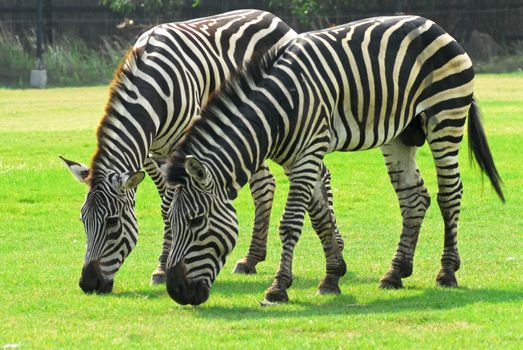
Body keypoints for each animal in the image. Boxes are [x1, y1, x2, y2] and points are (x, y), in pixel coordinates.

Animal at [59, 10, 344, 296]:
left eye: (113, 222)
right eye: (83, 220)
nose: (89, 284)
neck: (152, 89)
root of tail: (270, 16)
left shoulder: (181, 149)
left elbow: (169, 205)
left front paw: (162, 268)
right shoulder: (150, 153)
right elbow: (166, 203)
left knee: (322, 174)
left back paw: (337, 250)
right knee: (265, 184)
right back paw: (251, 259)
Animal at [163, 15, 504, 306]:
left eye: (195, 221)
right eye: (173, 221)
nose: (176, 290)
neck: (277, 110)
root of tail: (434, 25)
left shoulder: (307, 153)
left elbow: (291, 222)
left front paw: (278, 288)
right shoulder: (299, 159)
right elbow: (320, 218)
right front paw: (332, 278)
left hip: (445, 116)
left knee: (449, 194)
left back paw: (446, 272)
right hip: (401, 134)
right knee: (414, 198)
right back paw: (395, 273)